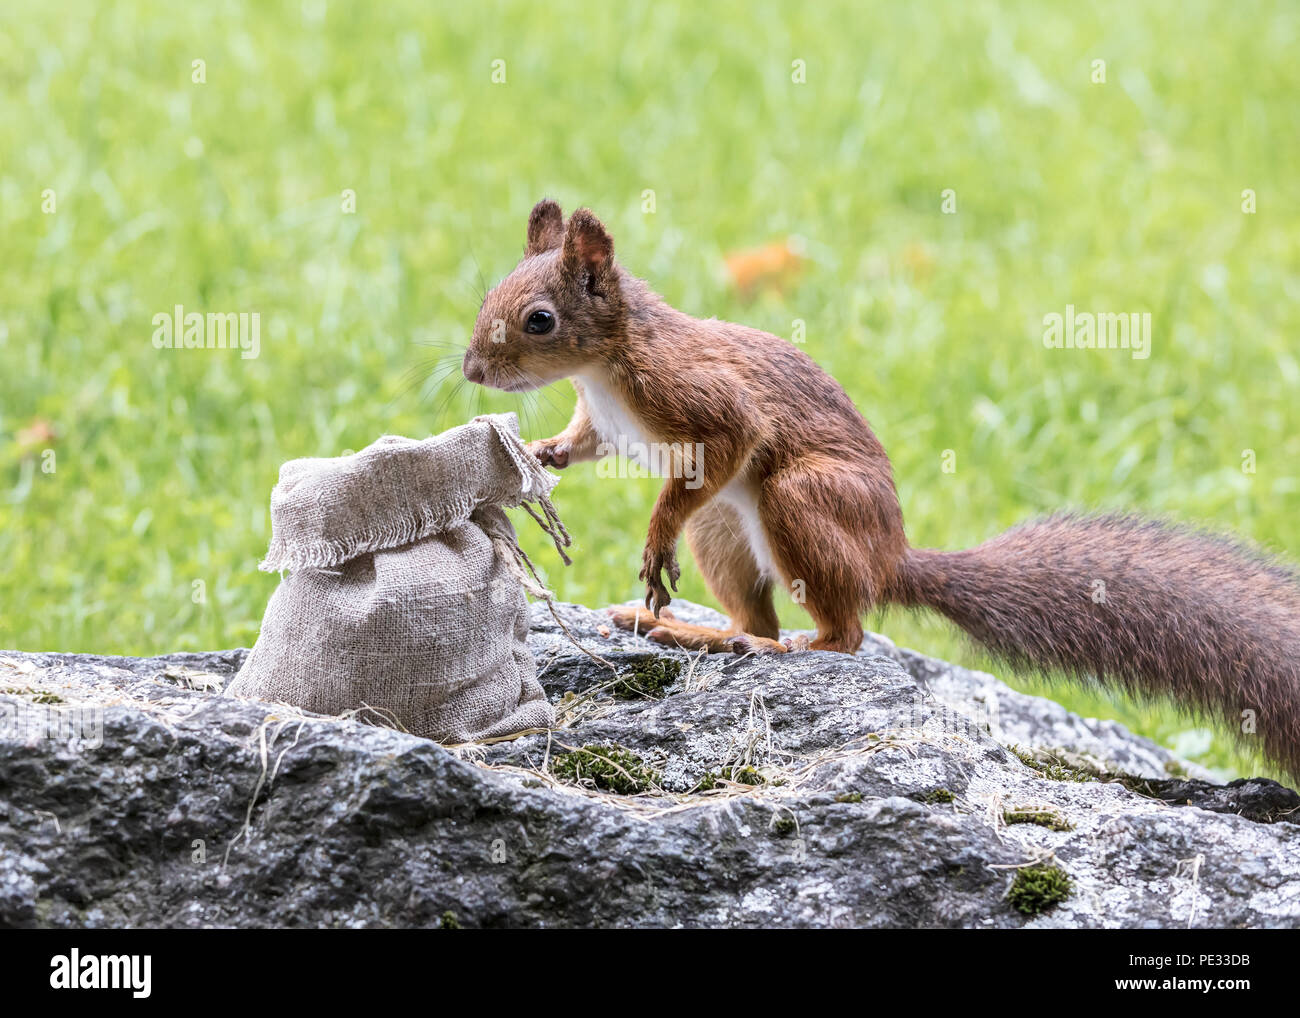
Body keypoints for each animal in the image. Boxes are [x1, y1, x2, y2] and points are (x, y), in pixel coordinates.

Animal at [465, 202, 1300, 774]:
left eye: (539, 320)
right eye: (488, 295)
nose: (472, 370)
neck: (604, 369)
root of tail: (889, 558)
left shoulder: (708, 405)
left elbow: (719, 453)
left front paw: (653, 535)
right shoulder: (605, 424)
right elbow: (583, 443)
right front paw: (540, 452)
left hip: (800, 500)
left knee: (844, 634)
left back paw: (790, 646)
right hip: (728, 533)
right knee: (753, 615)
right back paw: (689, 632)